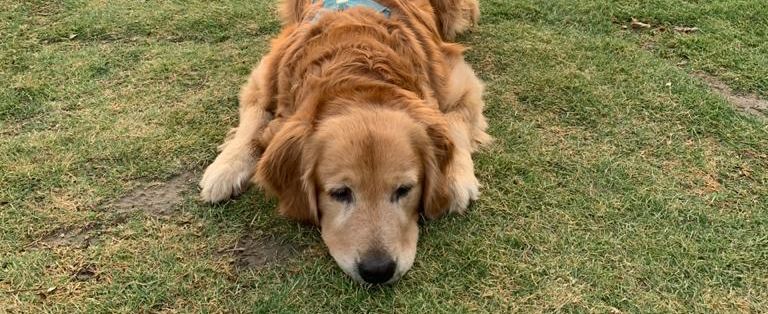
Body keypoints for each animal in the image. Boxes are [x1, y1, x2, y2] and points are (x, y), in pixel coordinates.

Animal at [201, 0, 488, 284]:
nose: (378, 270)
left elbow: (454, 122)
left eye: (404, 190)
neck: (355, 72)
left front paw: (455, 177)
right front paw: (225, 168)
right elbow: (254, 114)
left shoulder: (456, 80)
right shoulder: (267, 74)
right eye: (340, 193)